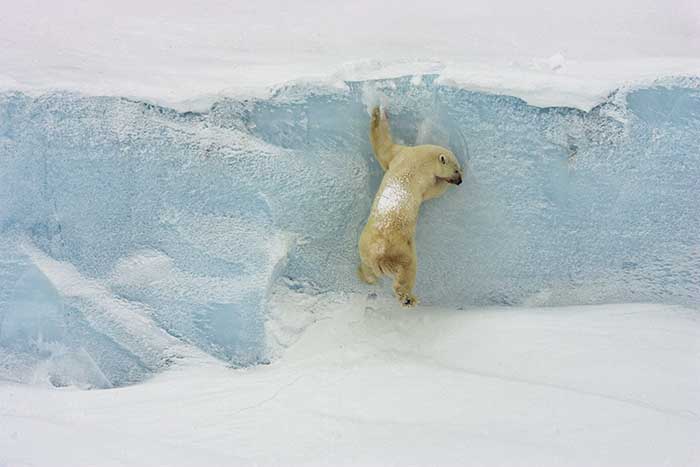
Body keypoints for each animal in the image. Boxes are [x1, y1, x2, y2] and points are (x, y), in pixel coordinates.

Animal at [358, 107, 462, 308]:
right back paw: (408, 298)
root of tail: (378, 254)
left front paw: (377, 114)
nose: (460, 181)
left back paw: (364, 276)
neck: (420, 158)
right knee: (407, 268)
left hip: (365, 247)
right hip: (400, 248)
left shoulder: (399, 155)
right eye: (456, 170)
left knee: (368, 268)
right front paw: (444, 184)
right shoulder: (422, 174)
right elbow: (432, 191)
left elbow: (384, 150)